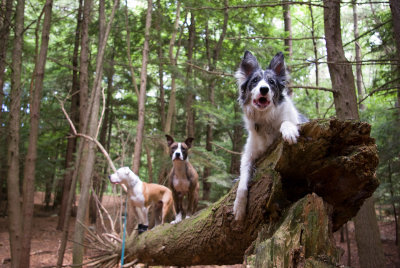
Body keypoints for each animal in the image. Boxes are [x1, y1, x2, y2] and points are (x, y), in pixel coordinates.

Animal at [233, 51, 308, 221]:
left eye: (271, 82)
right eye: (254, 81)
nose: (264, 89)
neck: (265, 119)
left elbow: (285, 122)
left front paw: (289, 131)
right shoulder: (248, 155)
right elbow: (242, 183)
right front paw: (239, 207)